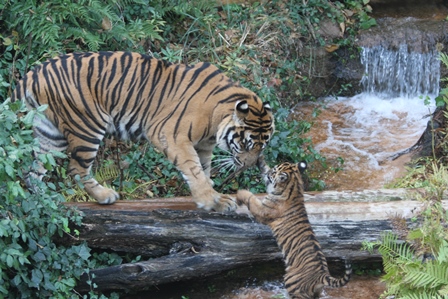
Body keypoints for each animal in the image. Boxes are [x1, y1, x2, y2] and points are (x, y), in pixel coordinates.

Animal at [11, 51, 272, 213]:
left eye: (263, 146)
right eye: (247, 144)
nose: (250, 165)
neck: (215, 122)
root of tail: (32, 73)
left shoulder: (203, 146)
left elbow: (204, 170)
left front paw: (215, 199)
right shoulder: (171, 135)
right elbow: (194, 169)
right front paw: (211, 200)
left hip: (49, 134)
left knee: (32, 172)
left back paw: (44, 201)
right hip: (87, 125)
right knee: (75, 169)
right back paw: (105, 196)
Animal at [236, 163, 352, 298]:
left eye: (274, 171)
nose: (267, 172)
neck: (294, 186)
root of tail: (321, 275)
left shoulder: (263, 210)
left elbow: (250, 198)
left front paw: (240, 194)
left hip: (291, 281)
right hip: (315, 291)